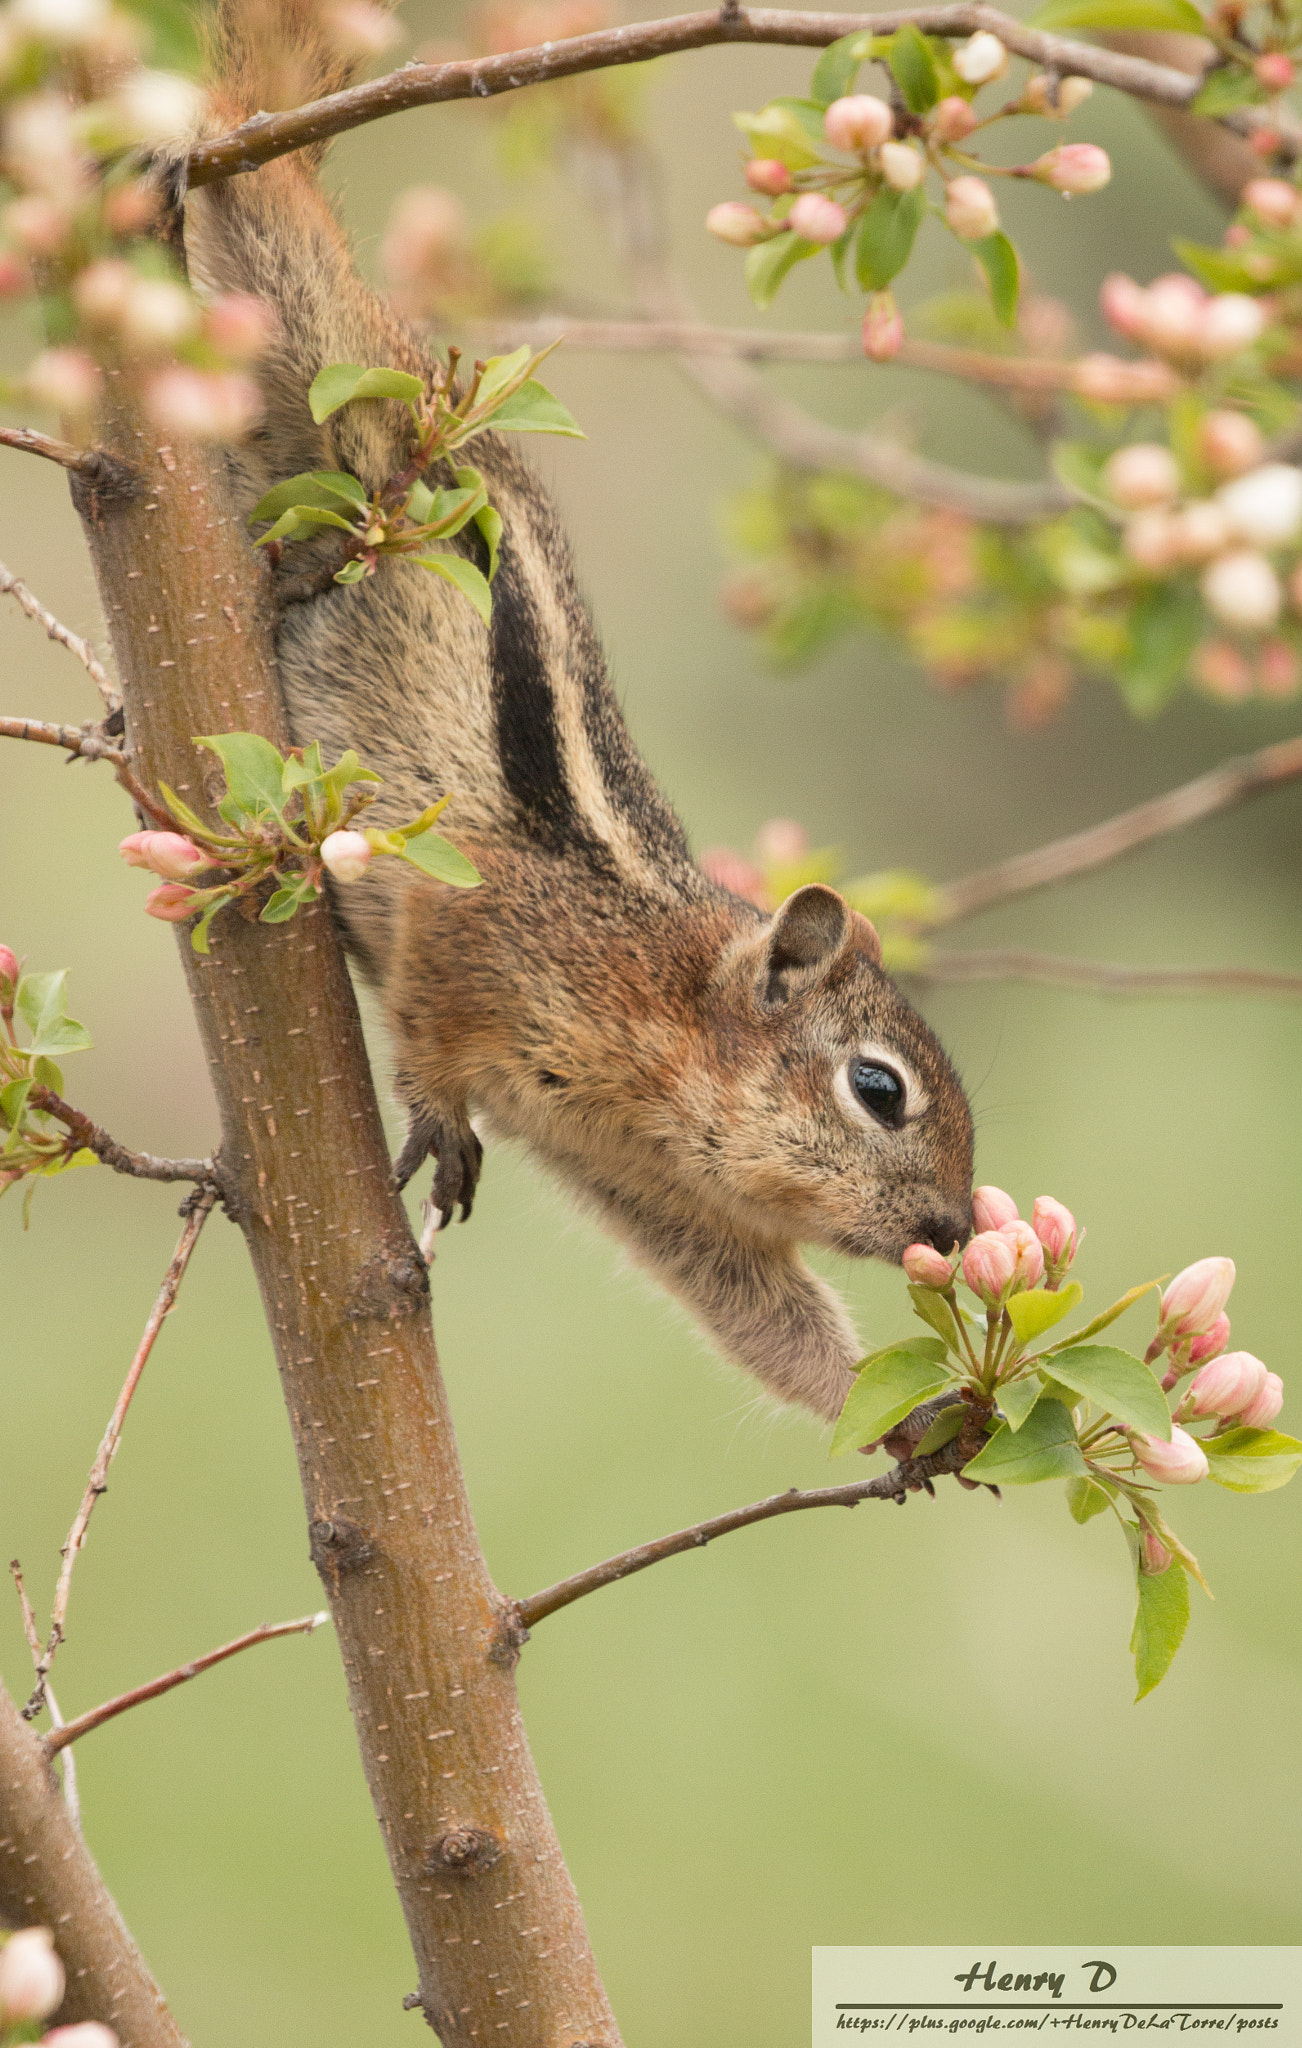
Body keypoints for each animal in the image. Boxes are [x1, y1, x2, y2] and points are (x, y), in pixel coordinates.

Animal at [180, 0, 975, 1427]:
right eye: (878, 1088)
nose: (953, 1229)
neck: (672, 1004)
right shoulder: (485, 935)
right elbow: (432, 1014)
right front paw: (440, 1122)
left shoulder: (667, 1199)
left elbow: (777, 1329)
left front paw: (925, 1415)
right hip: (344, 402)